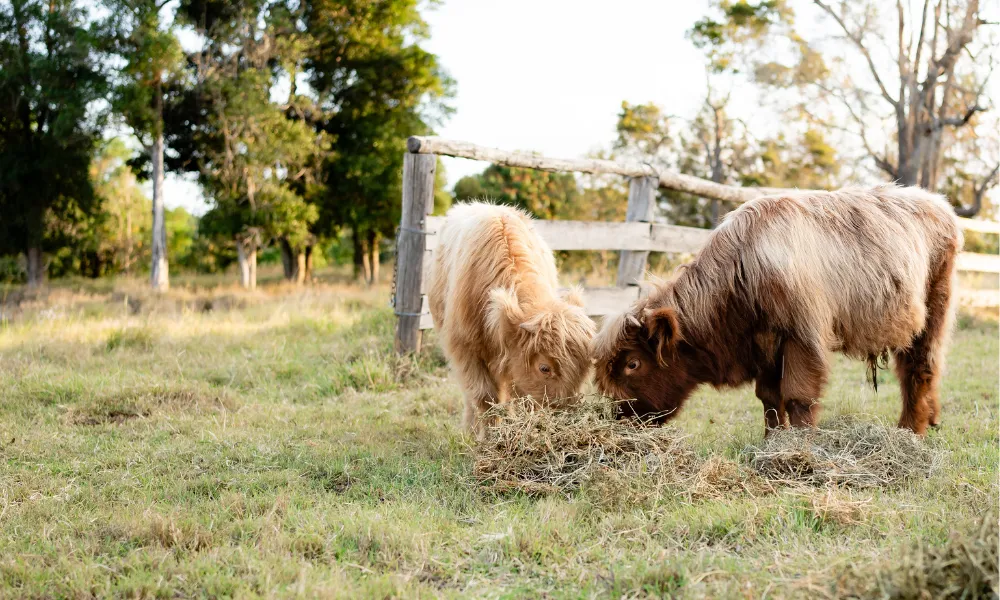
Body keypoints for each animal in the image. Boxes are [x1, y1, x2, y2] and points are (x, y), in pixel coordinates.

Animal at [428, 202, 595, 436]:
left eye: (585, 369)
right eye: (544, 368)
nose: (562, 416)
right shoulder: (464, 349)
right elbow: (484, 398)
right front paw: (488, 437)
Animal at [592, 185, 962, 436]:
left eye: (633, 364)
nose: (620, 417)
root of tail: (937, 203)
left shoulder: (802, 337)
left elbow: (798, 396)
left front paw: (800, 447)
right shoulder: (763, 342)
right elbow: (769, 397)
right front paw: (773, 440)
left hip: (934, 310)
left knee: (920, 369)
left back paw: (910, 431)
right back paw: (931, 418)